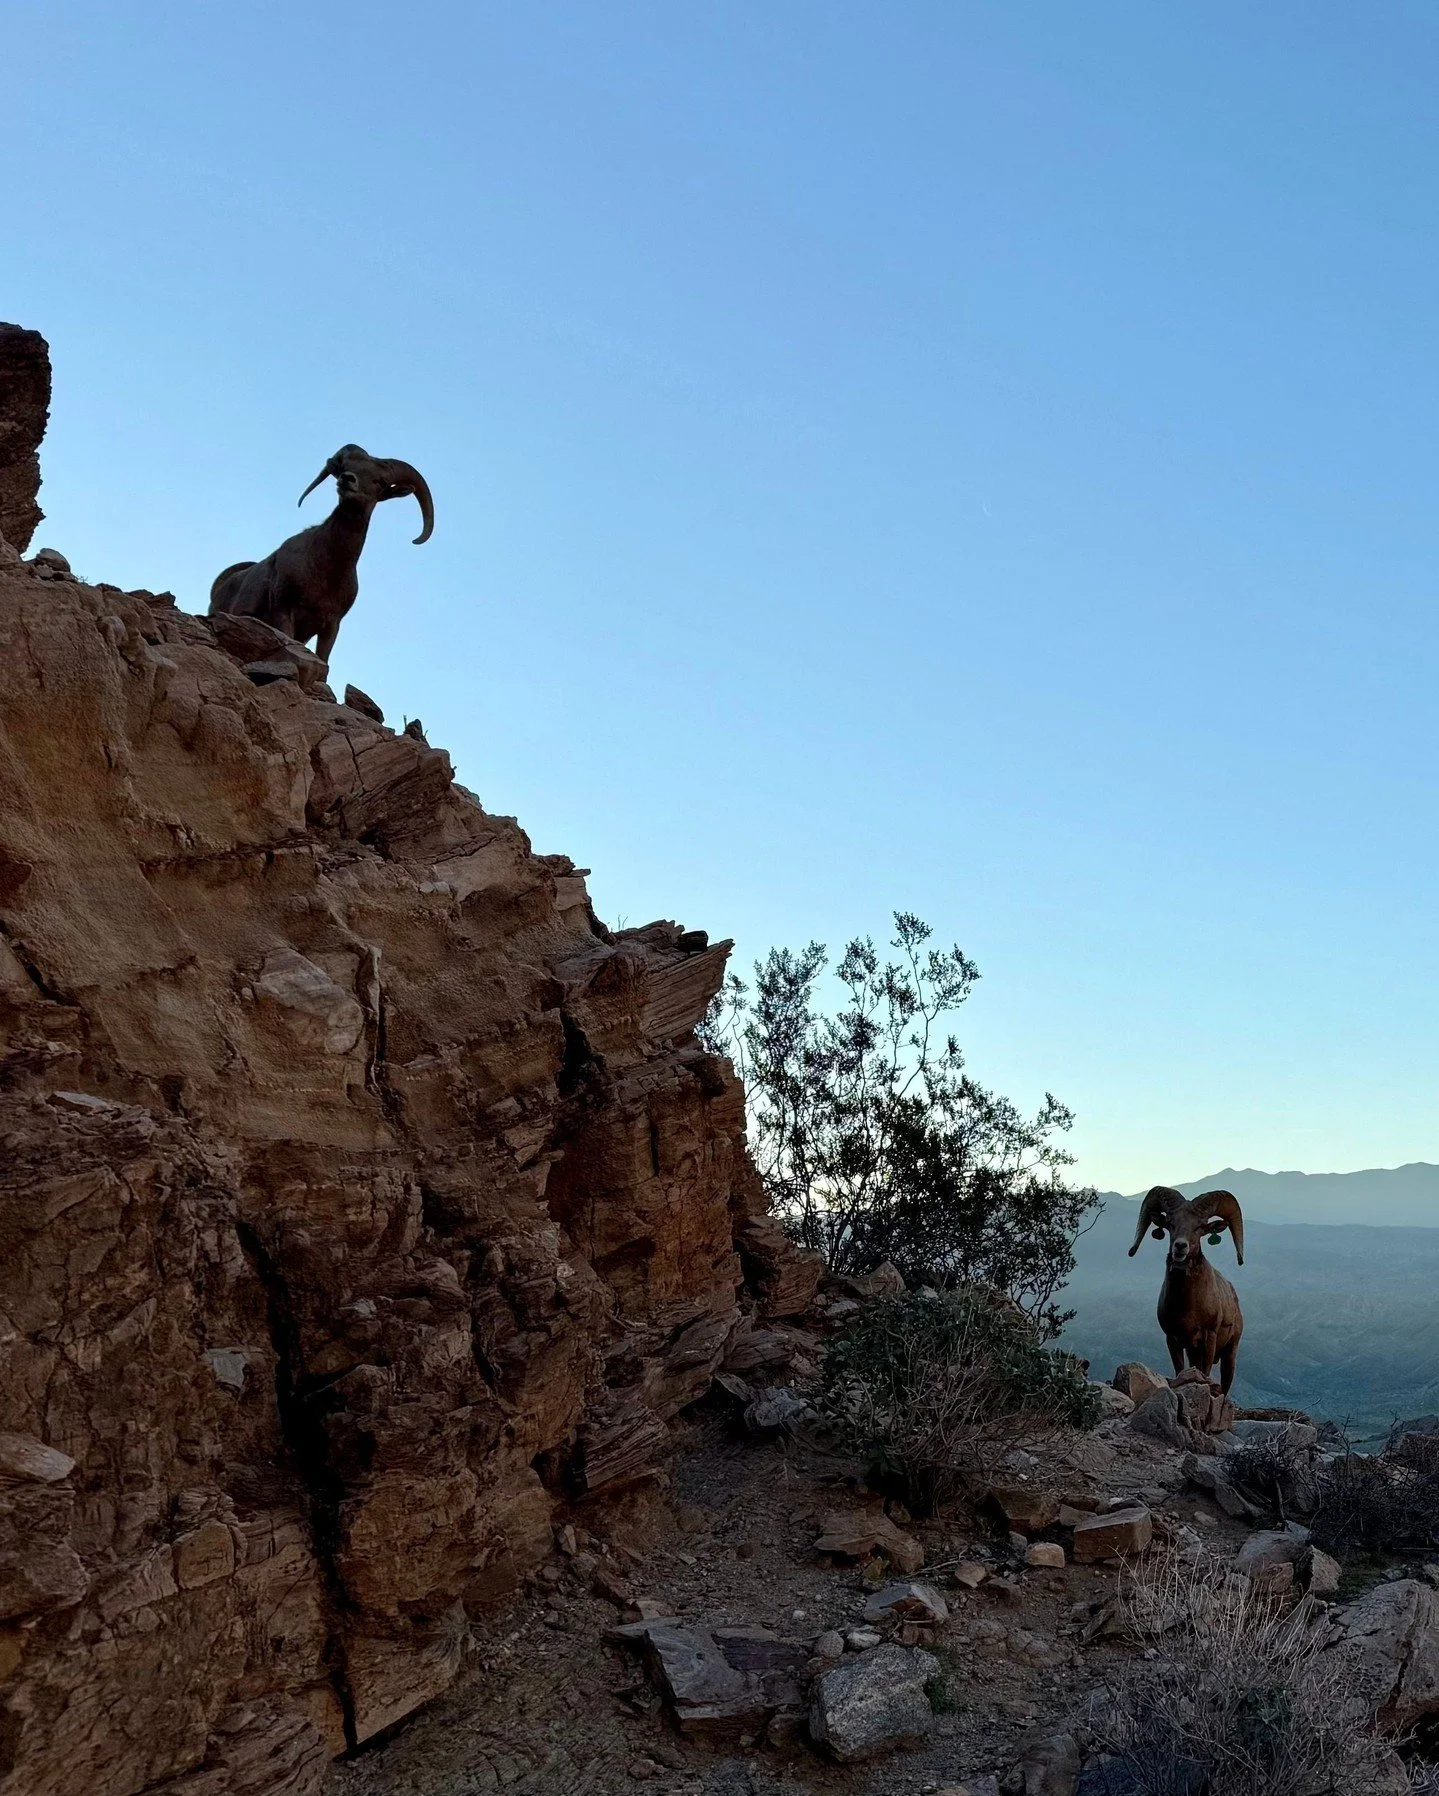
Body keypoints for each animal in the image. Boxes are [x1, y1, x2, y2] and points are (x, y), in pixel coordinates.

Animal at [209, 445, 433, 663]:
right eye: (346, 467)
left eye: (380, 481)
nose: (347, 479)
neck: (325, 570)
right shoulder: (284, 612)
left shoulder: (330, 627)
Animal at [1128, 1185, 1245, 1394]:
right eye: (1170, 1223)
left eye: (1200, 1227)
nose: (1180, 1246)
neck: (1187, 1307)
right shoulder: (1173, 1340)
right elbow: (1180, 1369)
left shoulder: (1209, 1338)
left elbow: (1205, 1372)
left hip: (1230, 1352)